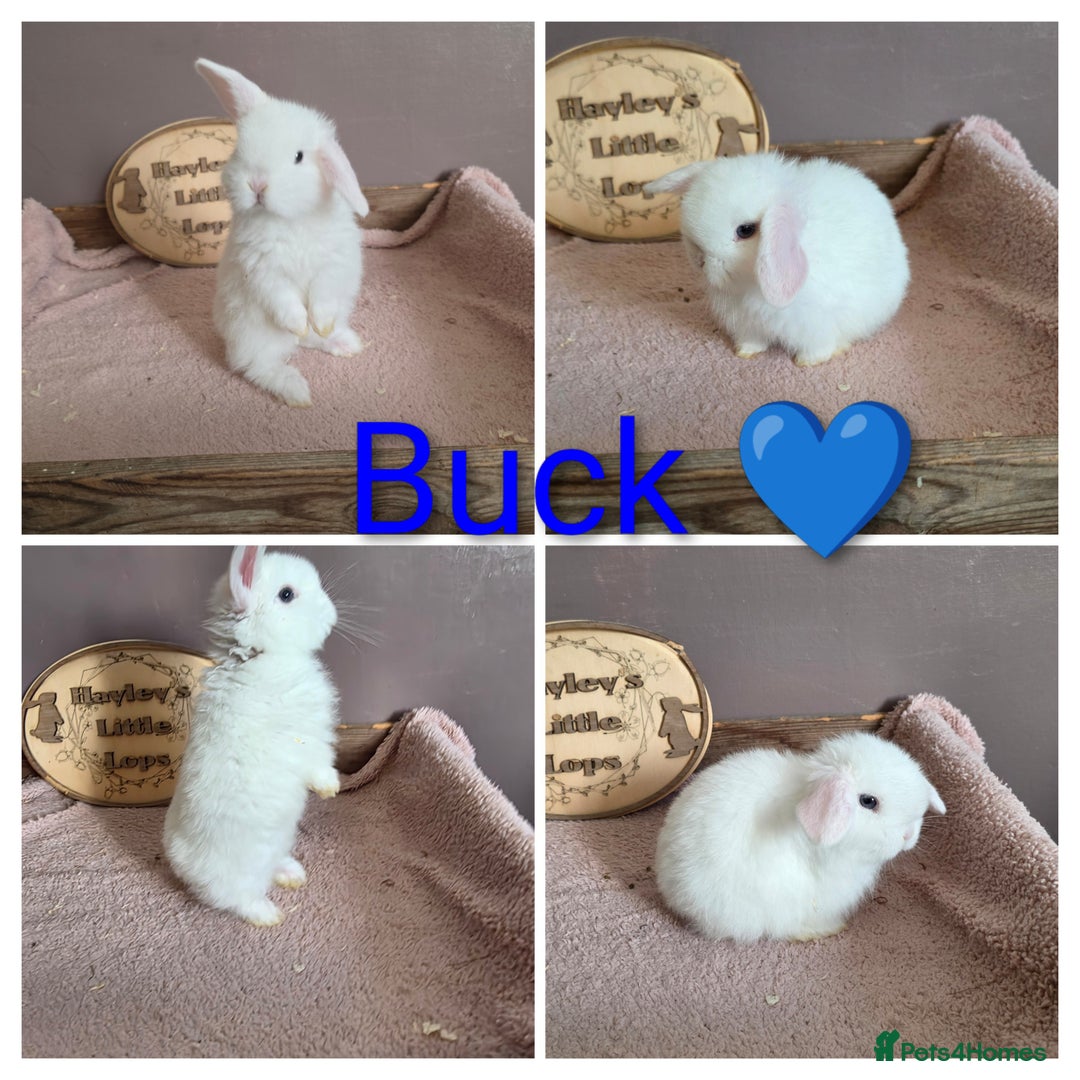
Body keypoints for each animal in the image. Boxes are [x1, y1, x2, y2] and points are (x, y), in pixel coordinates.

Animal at [163, 545, 341, 926]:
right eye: (287, 595)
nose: (331, 614)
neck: (257, 657)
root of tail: (183, 871)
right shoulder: (306, 741)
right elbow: (319, 766)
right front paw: (330, 789)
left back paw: (293, 874)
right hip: (241, 874)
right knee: (238, 899)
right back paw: (268, 916)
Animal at [195, 59, 369, 407]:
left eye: (299, 157)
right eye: (239, 149)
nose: (257, 184)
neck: (291, 219)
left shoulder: (333, 264)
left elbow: (323, 296)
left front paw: (317, 322)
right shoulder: (262, 269)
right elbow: (283, 299)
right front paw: (298, 323)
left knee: (312, 340)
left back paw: (341, 342)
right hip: (252, 338)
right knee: (258, 367)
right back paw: (297, 390)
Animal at [643, 153, 910, 366]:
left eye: (745, 230)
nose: (699, 258)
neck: (751, 285)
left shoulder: (818, 324)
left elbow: (818, 346)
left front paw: (807, 362)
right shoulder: (747, 324)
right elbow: (753, 341)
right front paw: (745, 352)